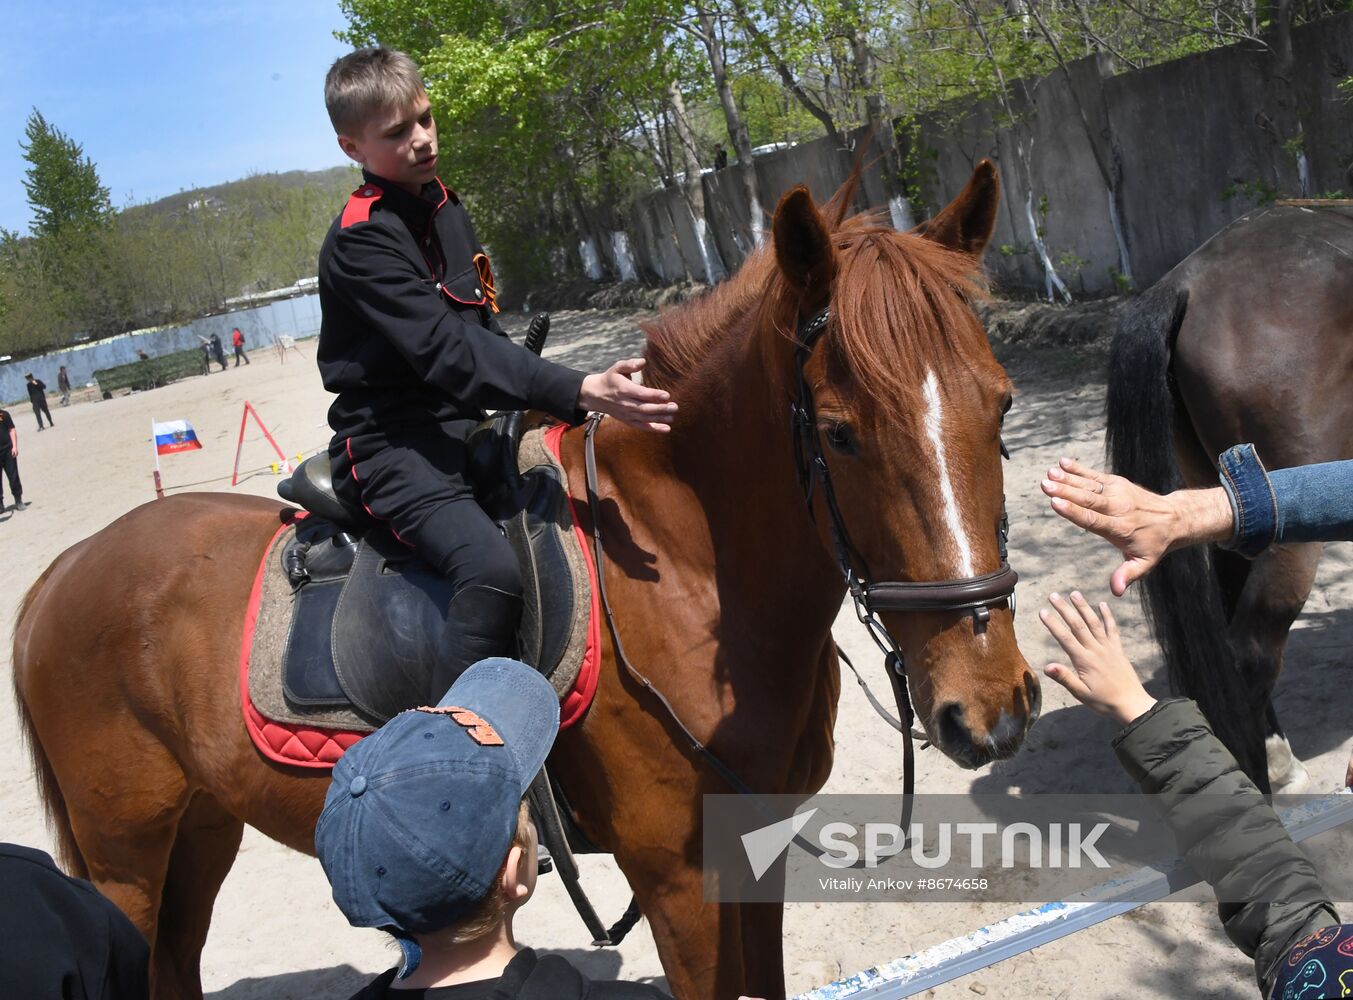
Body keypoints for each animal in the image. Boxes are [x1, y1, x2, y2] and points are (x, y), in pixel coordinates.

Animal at [13, 164, 1033, 1000]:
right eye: (838, 432)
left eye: (1001, 403)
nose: (986, 708)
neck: (686, 575)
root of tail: (62, 574)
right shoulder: (676, 879)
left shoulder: (755, 849)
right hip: (123, 860)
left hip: (198, 828)